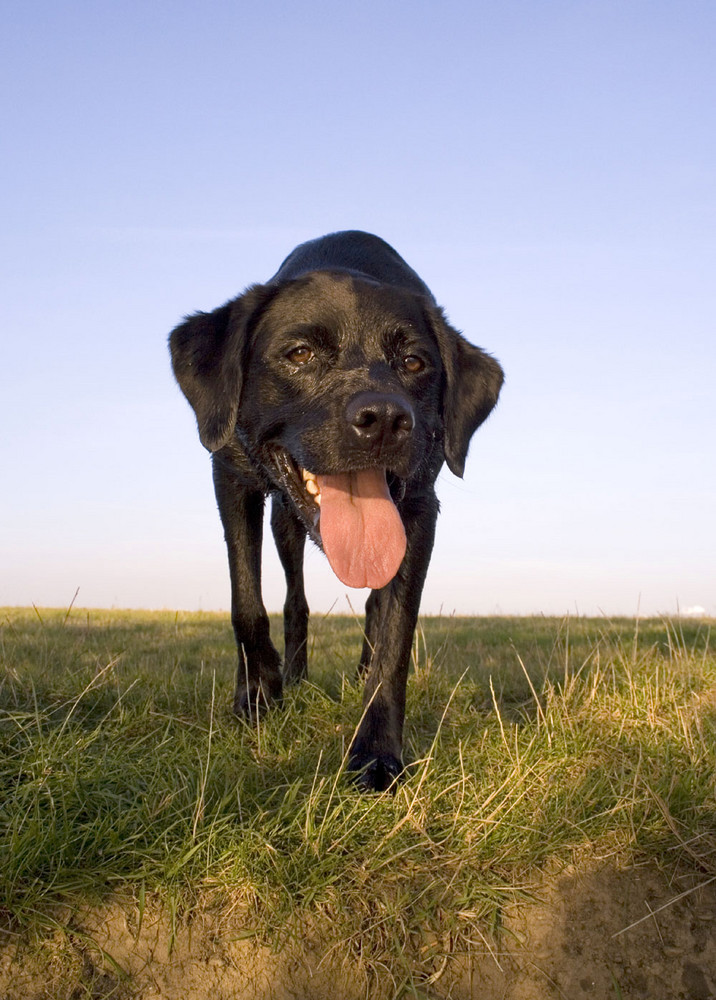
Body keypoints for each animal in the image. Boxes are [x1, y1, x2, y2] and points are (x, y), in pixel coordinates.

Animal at [171, 232, 504, 788]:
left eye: (414, 362)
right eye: (300, 353)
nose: (385, 418)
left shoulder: (420, 510)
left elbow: (395, 636)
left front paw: (376, 753)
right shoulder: (230, 478)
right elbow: (247, 604)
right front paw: (257, 699)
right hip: (283, 522)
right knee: (295, 602)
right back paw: (294, 680)